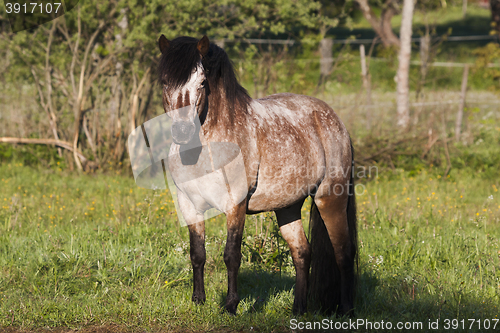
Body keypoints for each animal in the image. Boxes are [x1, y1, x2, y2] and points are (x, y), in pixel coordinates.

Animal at [158, 35, 358, 316]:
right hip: (288, 207)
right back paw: (298, 309)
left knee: (343, 252)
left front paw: (231, 305)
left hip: (330, 198)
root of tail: (336, 121)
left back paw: (347, 310)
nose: (182, 131)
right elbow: (197, 254)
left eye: (202, 83)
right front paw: (198, 300)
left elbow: (231, 255)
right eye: (164, 82)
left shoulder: (235, 205)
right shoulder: (189, 205)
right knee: (302, 252)